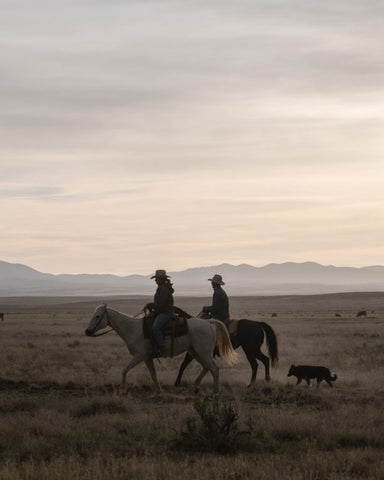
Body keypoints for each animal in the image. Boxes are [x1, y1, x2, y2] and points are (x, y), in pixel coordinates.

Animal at [85, 304, 238, 394]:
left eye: (97, 316)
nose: (87, 331)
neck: (132, 329)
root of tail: (208, 323)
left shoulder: (139, 355)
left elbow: (125, 370)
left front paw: (123, 389)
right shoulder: (147, 358)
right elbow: (153, 374)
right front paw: (158, 390)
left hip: (203, 353)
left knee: (214, 369)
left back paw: (215, 391)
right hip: (195, 352)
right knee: (207, 368)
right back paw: (195, 386)